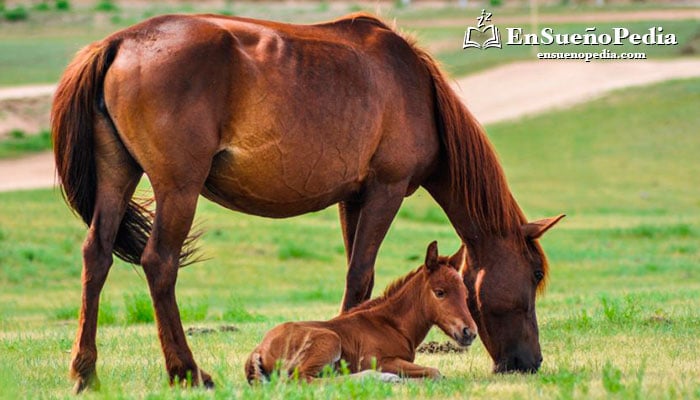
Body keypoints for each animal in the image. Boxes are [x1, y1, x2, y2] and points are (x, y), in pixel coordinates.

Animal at [52, 11, 564, 390]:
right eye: (535, 275)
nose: (529, 362)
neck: (415, 88)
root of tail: (118, 43)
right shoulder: (386, 190)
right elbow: (361, 273)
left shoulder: (352, 198)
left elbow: (357, 277)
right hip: (178, 187)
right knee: (159, 262)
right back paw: (186, 371)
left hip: (117, 176)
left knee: (96, 256)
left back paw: (86, 372)